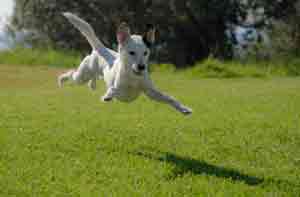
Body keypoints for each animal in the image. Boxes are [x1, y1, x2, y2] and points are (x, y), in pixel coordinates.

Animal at [58, 12, 192, 115]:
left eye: (145, 52)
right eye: (131, 52)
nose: (141, 67)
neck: (133, 77)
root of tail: (100, 49)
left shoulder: (151, 92)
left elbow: (169, 98)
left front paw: (184, 109)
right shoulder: (120, 91)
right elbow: (113, 89)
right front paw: (107, 96)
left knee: (93, 78)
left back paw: (92, 84)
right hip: (82, 75)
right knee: (72, 74)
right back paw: (62, 79)